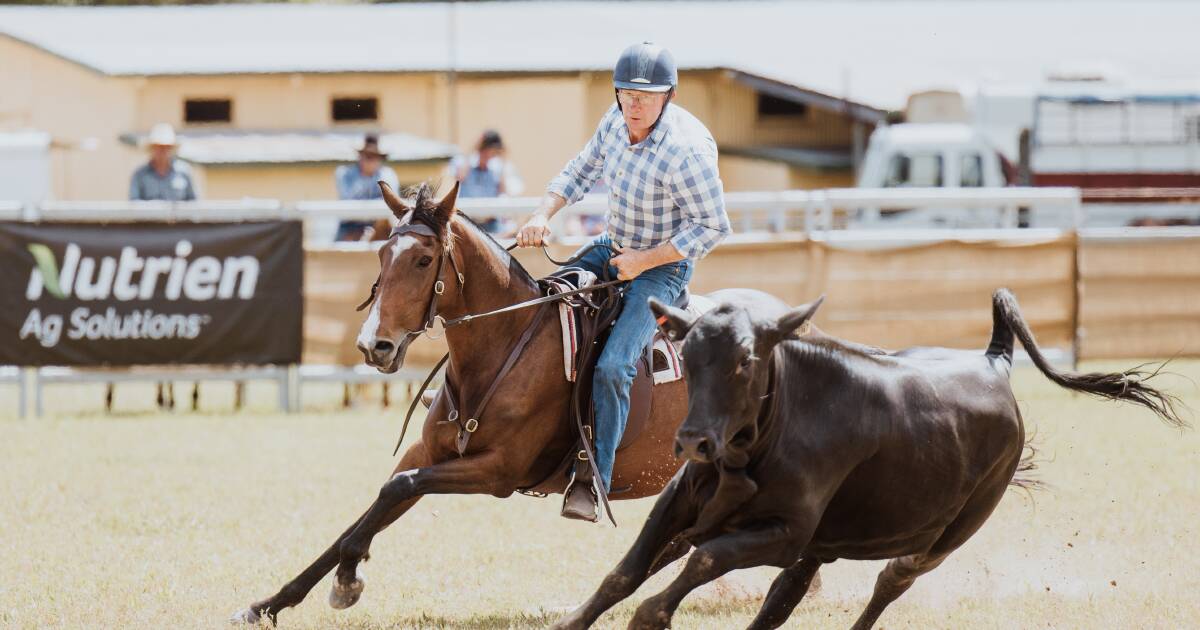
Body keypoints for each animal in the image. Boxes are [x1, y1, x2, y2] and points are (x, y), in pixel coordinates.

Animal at [229, 181, 705, 624]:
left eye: (424, 260)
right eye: (382, 254)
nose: (373, 346)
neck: (509, 343)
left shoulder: (497, 470)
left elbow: (398, 488)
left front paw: (347, 578)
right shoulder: (426, 452)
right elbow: (373, 507)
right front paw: (269, 604)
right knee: (678, 543)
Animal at [549, 289, 1180, 628]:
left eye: (746, 361)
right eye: (688, 352)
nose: (694, 441)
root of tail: (994, 360)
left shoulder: (784, 533)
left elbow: (701, 560)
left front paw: (652, 613)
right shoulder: (682, 502)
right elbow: (627, 570)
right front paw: (573, 618)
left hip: (945, 536)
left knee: (891, 580)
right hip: (827, 542)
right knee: (782, 600)